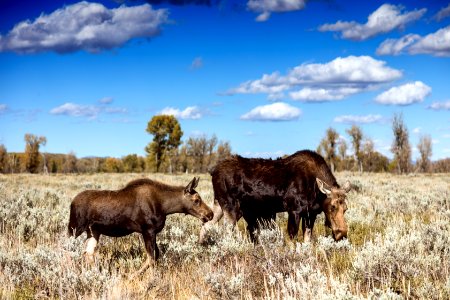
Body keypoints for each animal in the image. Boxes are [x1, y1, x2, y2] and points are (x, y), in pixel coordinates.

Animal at [68, 176, 213, 270]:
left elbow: (155, 256)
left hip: (93, 231)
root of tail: (71, 203)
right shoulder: (148, 230)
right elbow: (151, 258)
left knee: (88, 253)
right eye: (196, 200)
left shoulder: (151, 232)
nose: (210, 214)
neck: (166, 207)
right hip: (75, 228)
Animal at [200, 150, 352, 244]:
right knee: (226, 230)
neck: (317, 193)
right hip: (231, 207)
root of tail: (213, 171)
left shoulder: (310, 214)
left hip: (219, 204)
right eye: (332, 207)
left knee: (206, 226)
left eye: (345, 209)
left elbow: (307, 239)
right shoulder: (294, 210)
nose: (341, 234)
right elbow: (292, 237)